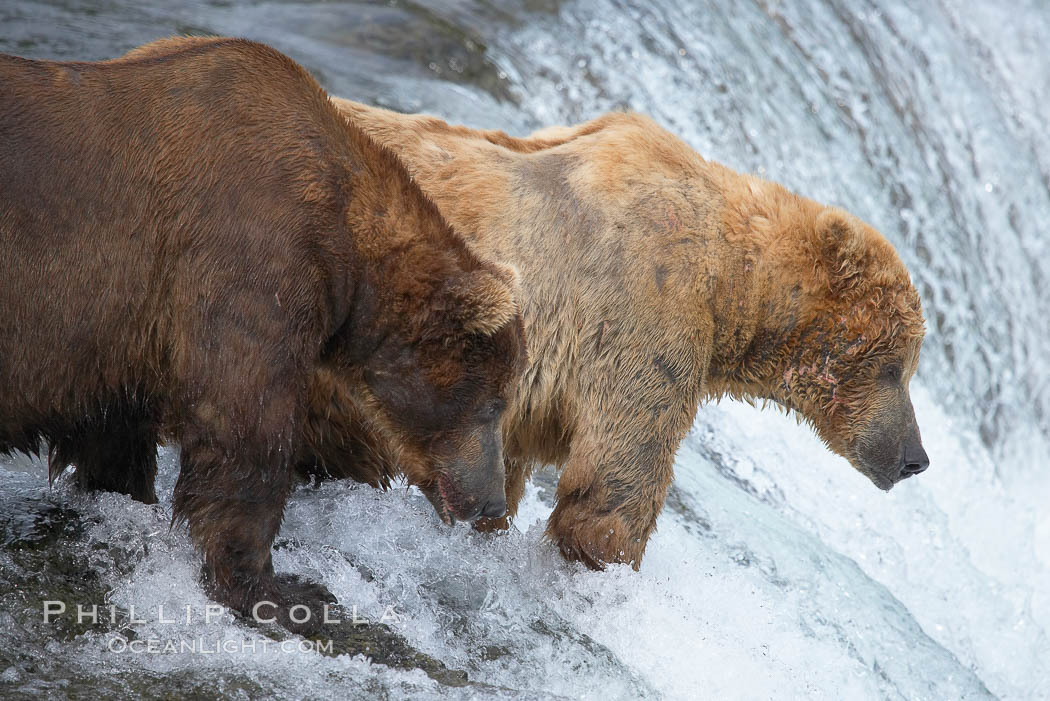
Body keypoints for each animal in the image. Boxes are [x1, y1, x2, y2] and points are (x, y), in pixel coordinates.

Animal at [0, 36, 525, 629]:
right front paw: (285, 589)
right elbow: (244, 426)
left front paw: (125, 496)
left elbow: (116, 428)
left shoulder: (126, 333)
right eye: (495, 404)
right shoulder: (248, 260)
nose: (492, 502)